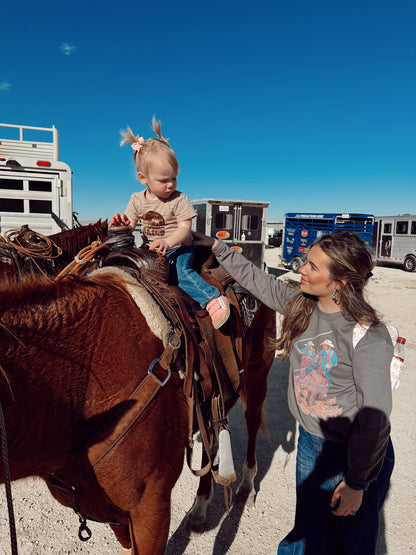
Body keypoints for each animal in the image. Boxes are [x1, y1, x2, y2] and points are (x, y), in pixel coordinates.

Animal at [0, 268, 276, 552]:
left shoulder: (151, 509)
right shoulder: (114, 513)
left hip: (256, 376)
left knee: (253, 421)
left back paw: (246, 486)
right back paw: (200, 508)